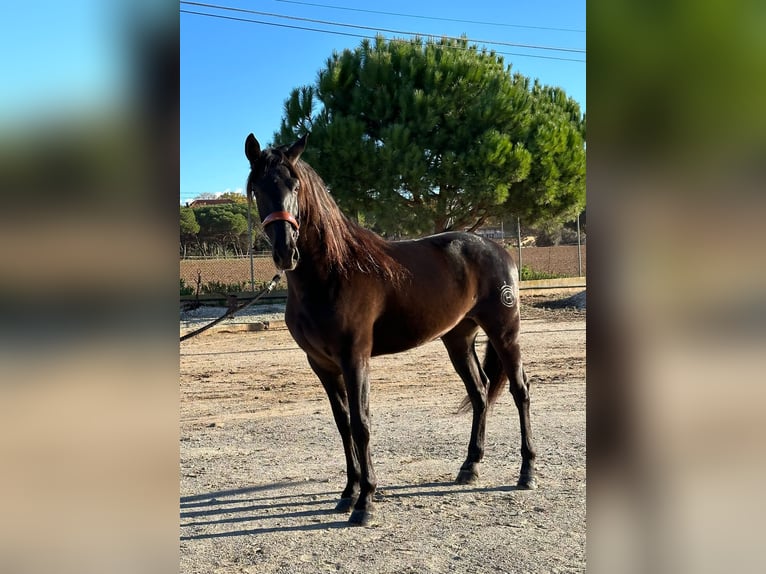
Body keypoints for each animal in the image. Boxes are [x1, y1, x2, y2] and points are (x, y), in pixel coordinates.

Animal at [248, 134, 540, 528]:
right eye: (259, 188)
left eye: (295, 186)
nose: (285, 252)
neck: (334, 271)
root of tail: (498, 249)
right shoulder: (322, 365)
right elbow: (343, 425)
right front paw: (348, 493)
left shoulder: (355, 359)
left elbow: (361, 424)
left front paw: (365, 502)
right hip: (458, 339)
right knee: (480, 392)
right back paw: (470, 467)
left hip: (505, 332)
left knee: (520, 391)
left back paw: (527, 472)